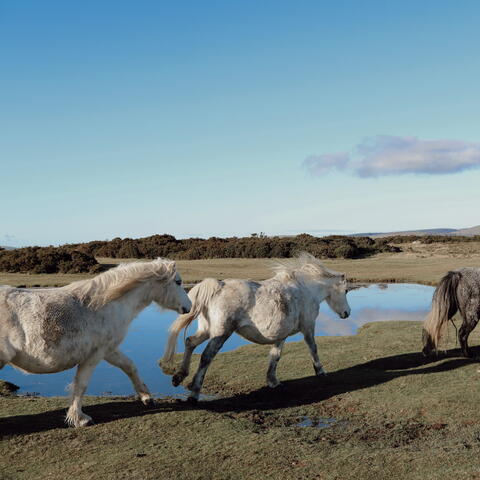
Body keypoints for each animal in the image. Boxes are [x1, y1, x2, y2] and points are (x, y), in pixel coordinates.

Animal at [0, 258, 191, 428]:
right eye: (178, 282)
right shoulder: (94, 355)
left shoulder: (109, 350)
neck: (103, 305)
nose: (189, 306)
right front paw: (80, 419)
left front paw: (147, 398)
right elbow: (81, 384)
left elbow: (129, 366)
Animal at [159, 253, 350, 404]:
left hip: (207, 330)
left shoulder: (281, 335)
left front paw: (273, 381)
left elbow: (275, 356)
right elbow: (313, 348)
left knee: (190, 342)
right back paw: (194, 393)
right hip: (221, 334)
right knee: (206, 357)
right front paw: (320, 371)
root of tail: (218, 287)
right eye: (346, 290)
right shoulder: (308, 327)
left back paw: (179, 377)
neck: (306, 290)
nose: (347, 313)